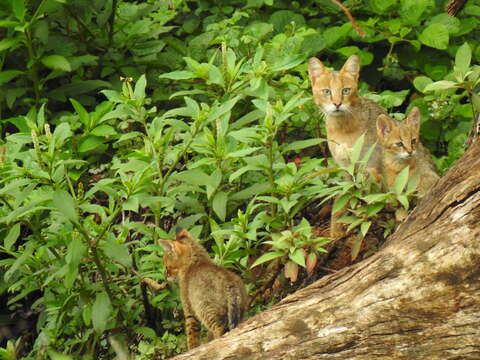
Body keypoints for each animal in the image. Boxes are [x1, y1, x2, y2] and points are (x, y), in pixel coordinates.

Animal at [310, 55, 388, 236]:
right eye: (327, 91)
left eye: (345, 90)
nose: (337, 104)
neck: (342, 129)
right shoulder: (345, 166)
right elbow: (343, 198)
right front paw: (336, 231)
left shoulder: (368, 163)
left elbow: (366, 195)